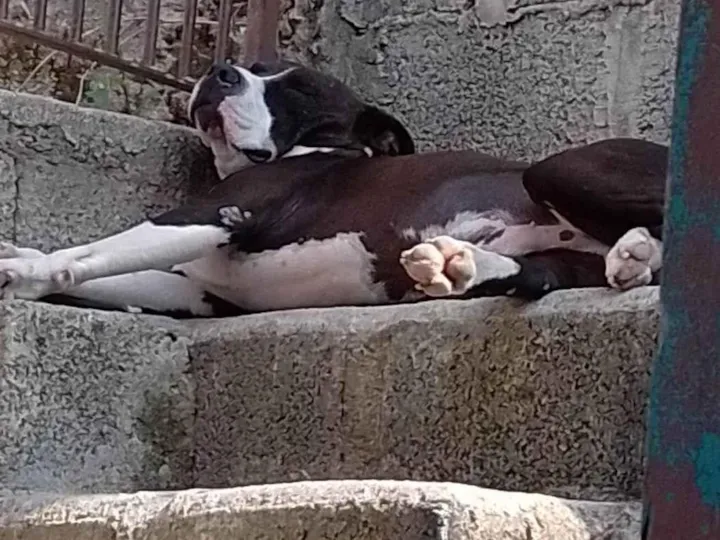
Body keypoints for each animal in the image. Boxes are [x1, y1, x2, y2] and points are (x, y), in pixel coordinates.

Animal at [0, 59, 665, 318]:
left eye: (300, 92)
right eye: (253, 66)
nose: (221, 70)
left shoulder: (214, 212)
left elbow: (92, 251)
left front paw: (24, 271)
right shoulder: (202, 294)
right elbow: (112, 268)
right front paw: (22, 257)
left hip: (556, 169)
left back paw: (637, 249)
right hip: (555, 252)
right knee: (540, 273)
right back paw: (458, 262)